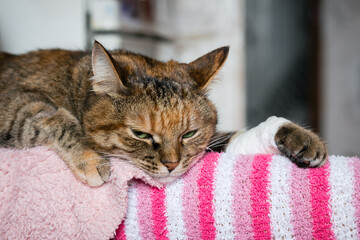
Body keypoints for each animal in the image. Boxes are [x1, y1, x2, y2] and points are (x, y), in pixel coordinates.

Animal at [0, 41, 326, 187]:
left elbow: (242, 135)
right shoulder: (16, 104)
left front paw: (300, 137)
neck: (75, 87)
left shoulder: (211, 142)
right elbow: (53, 117)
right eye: (140, 134)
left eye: (189, 133)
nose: (171, 165)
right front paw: (92, 161)